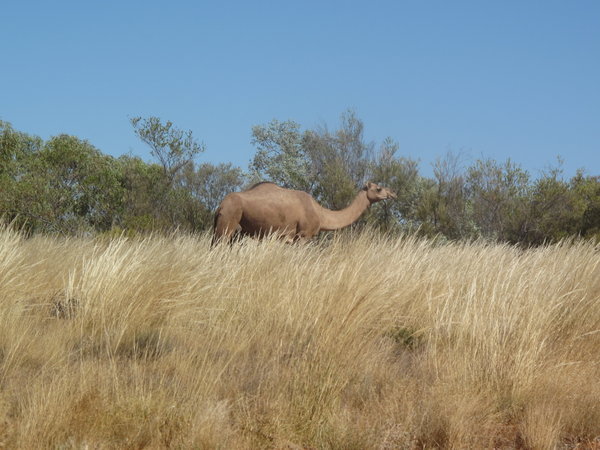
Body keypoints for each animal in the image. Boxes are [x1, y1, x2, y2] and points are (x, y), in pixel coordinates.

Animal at [213, 181, 396, 244]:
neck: (321, 213)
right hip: (228, 222)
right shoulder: (303, 236)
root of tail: (220, 206)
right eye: (378, 188)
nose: (393, 193)